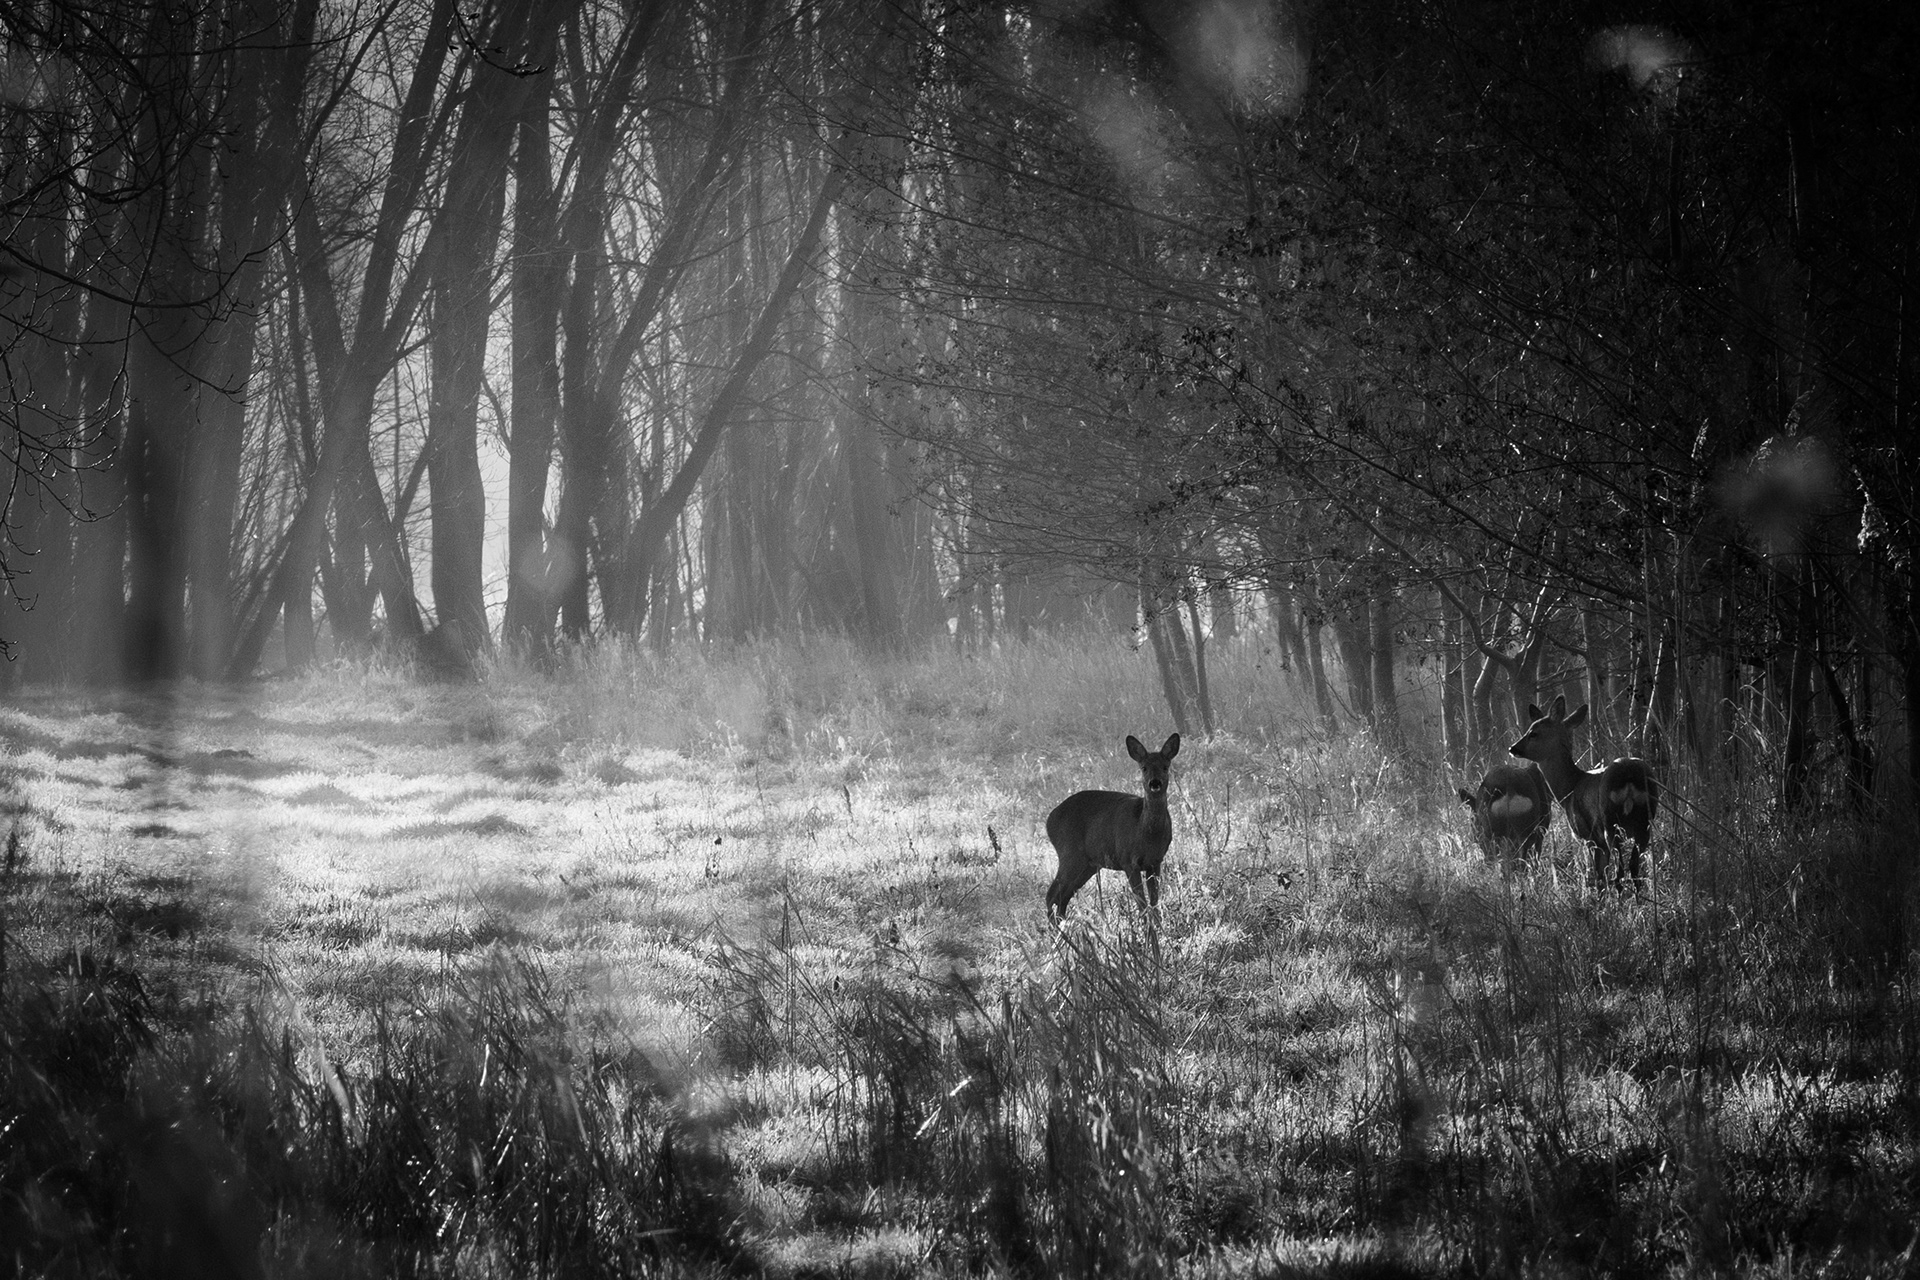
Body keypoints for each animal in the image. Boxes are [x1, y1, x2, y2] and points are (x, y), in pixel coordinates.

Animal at [1045, 733, 1180, 921]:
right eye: (1144, 768)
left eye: (1165, 767)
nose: (1155, 783)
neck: (1146, 832)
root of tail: (1048, 821)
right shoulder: (1128, 860)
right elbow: (1142, 904)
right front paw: (1147, 928)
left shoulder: (1155, 861)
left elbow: (1154, 903)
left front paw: (1158, 926)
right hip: (1070, 854)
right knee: (1051, 896)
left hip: (1088, 864)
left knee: (1062, 898)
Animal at [1509, 696, 1658, 890]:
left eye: (1533, 733)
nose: (1513, 748)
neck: (1569, 789)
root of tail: (1629, 776)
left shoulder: (1590, 836)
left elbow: (1599, 877)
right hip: (1645, 822)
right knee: (1634, 869)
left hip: (1610, 824)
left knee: (1619, 873)